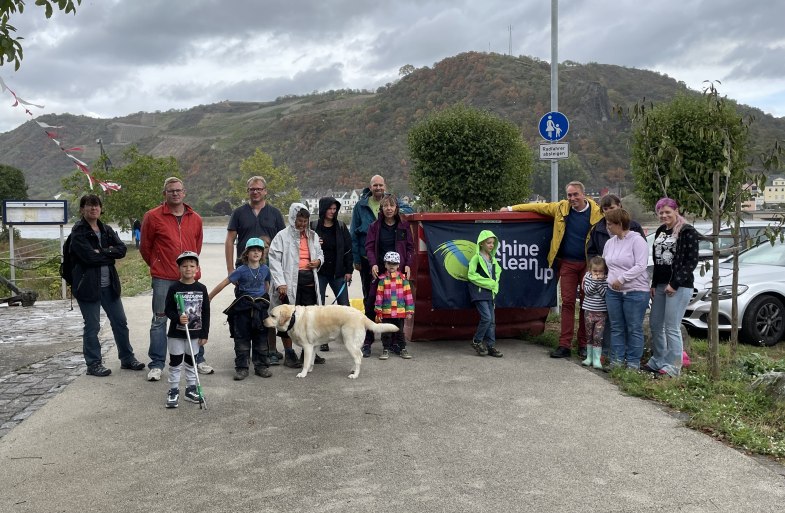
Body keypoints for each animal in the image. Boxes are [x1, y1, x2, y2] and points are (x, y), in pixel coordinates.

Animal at [264, 304, 398, 376]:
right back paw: (354, 369)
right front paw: (310, 370)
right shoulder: (313, 347)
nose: (263, 321)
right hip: (353, 344)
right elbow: (311, 361)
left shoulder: (307, 346)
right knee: (358, 357)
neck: (294, 318)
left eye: (273, 316)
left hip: (349, 343)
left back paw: (355, 375)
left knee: (358, 357)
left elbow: (306, 362)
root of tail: (362, 315)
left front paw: (303, 373)